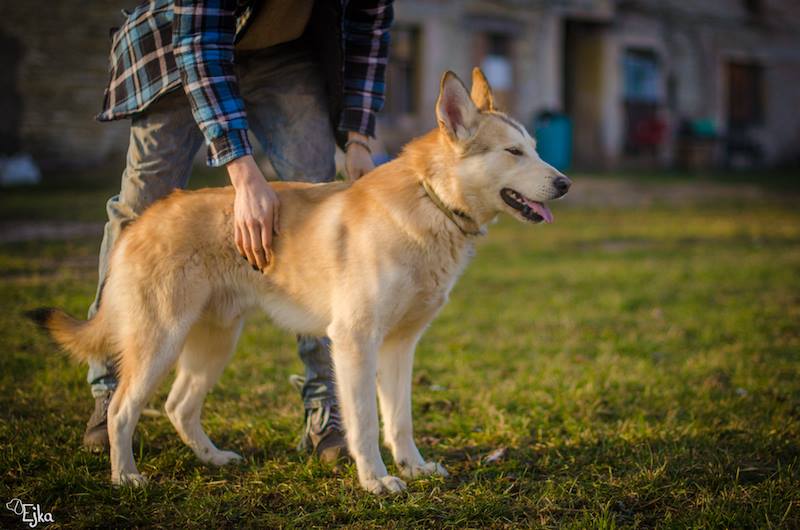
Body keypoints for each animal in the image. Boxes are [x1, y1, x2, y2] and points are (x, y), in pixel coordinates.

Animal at [31, 68, 568, 492]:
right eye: (514, 152)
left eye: (536, 149)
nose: (564, 183)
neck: (431, 202)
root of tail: (142, 220)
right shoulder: (353, 342)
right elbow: (365, 424)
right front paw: (376, 481)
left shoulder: (400, 346)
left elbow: (400, 421)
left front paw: (413, 469)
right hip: (159, 341)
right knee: (122, 410)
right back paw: (126, 476)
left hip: (215, 343)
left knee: (179, 407)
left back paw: (214, 459)